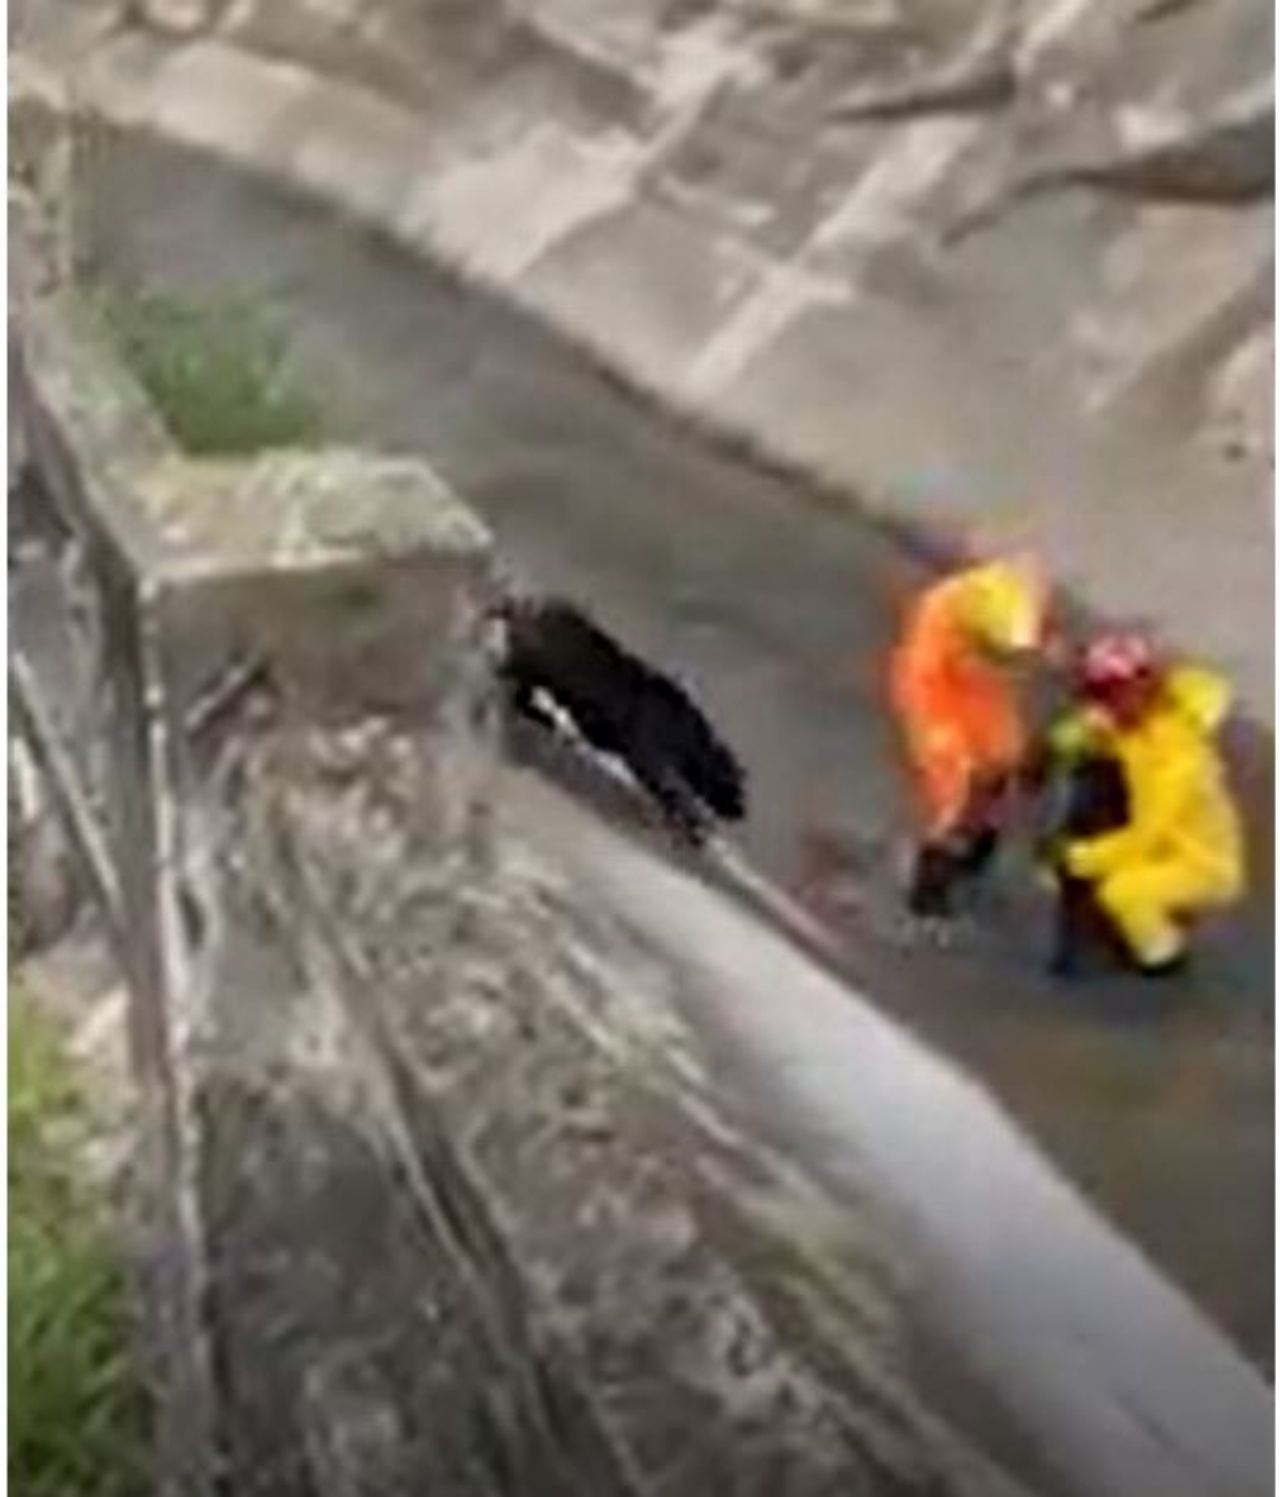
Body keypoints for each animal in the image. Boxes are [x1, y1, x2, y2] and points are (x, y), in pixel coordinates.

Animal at [494, 592, 751, 844]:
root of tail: (535, 605)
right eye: (737, 789)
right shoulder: (649, 759)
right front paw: (691, 825)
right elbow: (670, 794)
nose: (742, 811)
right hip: (533, 671)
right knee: (516, 687)